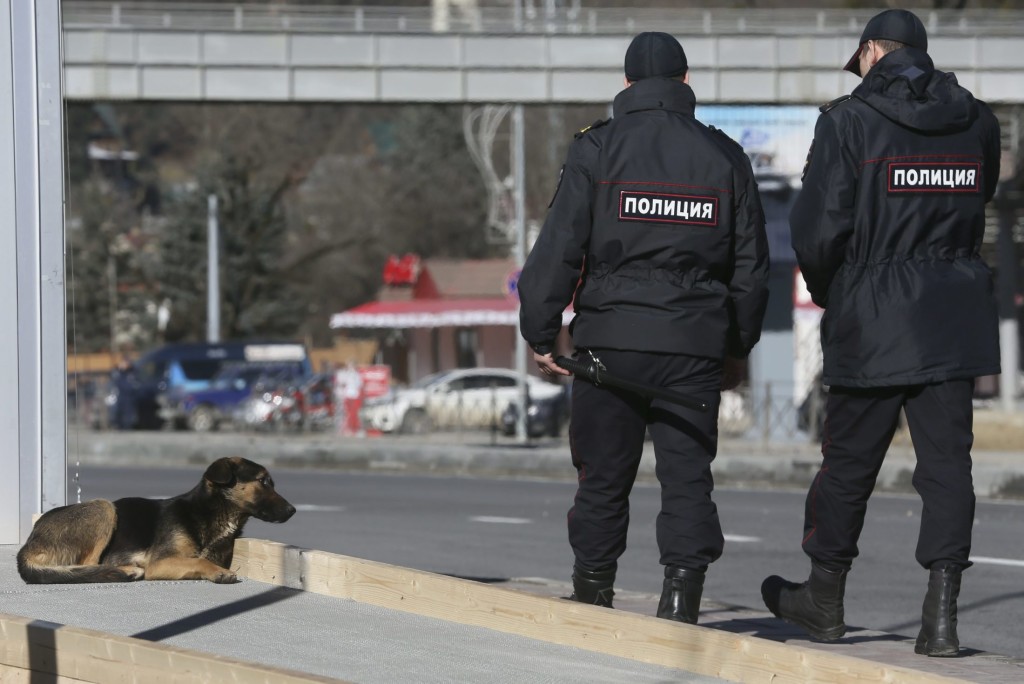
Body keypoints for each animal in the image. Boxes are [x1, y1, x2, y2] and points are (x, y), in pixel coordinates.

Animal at [16, 456, 296, 585]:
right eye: (263, 481)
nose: (293, 510)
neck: (208, 514)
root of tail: (28, 544)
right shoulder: (160, 562)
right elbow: (200, 561)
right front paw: (219, 573)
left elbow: (197, 561)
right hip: (104, 507)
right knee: (88, 565)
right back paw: (125, 571)